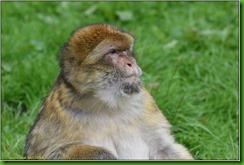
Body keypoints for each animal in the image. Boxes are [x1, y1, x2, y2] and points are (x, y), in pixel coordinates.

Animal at [23, 23, 193, 160]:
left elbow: (164, 148)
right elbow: (47, 154)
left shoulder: (145, 103)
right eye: (113, 52)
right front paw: (100, 155)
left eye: (126, 51)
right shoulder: (59, 113)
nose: (131, 63)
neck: (107, 104)